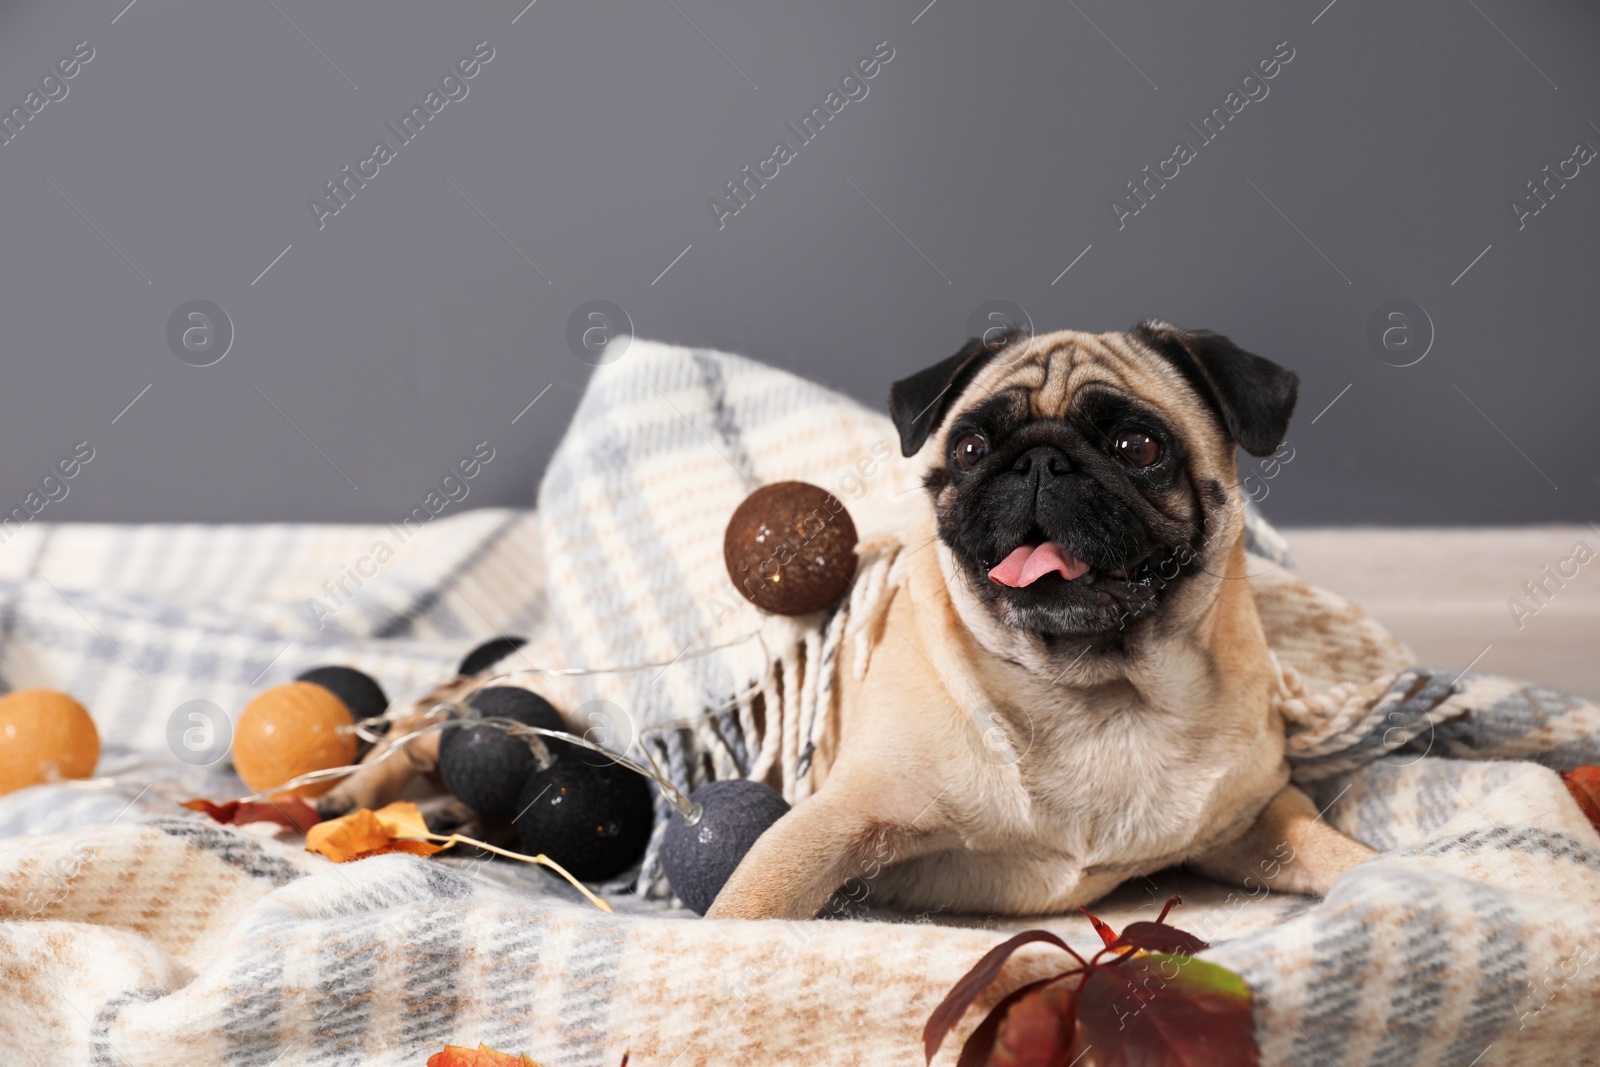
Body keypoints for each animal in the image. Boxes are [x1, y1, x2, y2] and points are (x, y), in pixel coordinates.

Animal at [710, 321, 1376, 921]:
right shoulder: (834, 820)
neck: (1100, 692)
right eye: (970, 449)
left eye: (1138, 447)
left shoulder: (1255, 815)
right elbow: (750, 906)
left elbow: (1326, 846)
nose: (1038, 462)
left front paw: (1388, 874)